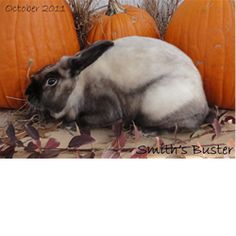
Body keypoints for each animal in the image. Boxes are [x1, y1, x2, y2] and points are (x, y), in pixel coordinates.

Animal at [25, 36, 209, 130]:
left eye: (51, 81)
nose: (27, 94)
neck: (78, 88)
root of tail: (203, 103)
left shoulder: (108, 108)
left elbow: (84, 120)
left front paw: (69, 125)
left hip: (152, 103)